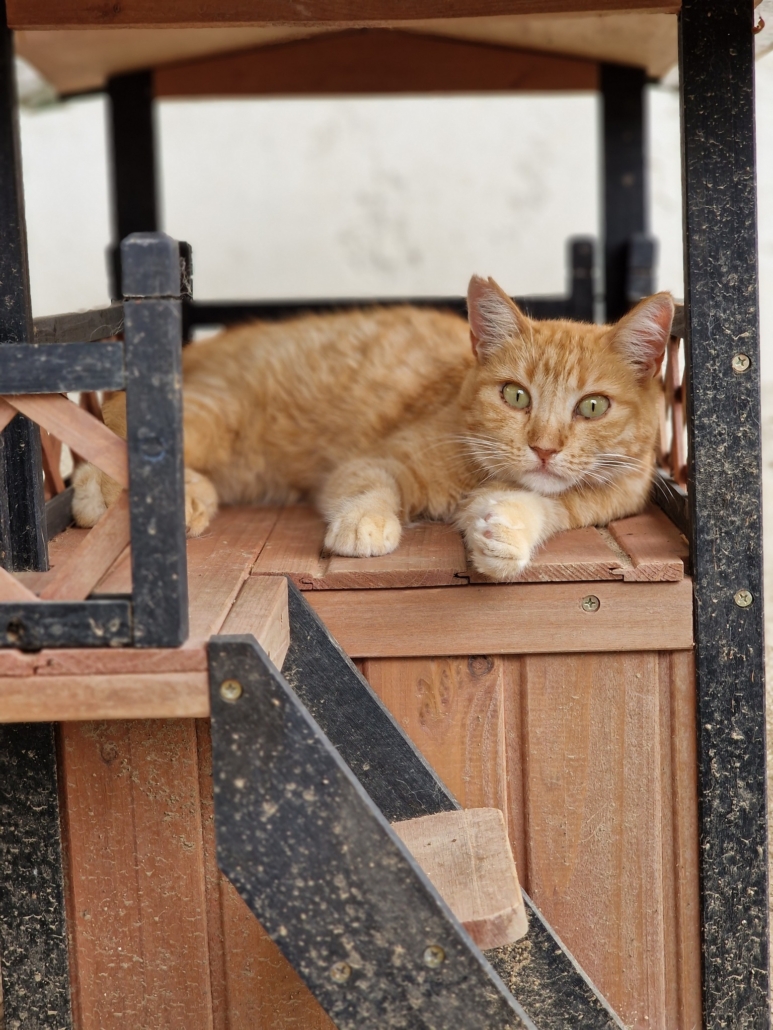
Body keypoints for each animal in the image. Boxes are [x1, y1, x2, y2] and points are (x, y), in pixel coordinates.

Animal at [74, 276, 676, 580]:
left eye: (592, 407)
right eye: (515, 395)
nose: (544, 448)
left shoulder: (599, 502)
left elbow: (543, 507)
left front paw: (504, 533)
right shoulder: (377, 460)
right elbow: (371, 487)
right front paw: (365, 524)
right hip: (212, 416)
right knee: (112, 427)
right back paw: (111, 496)